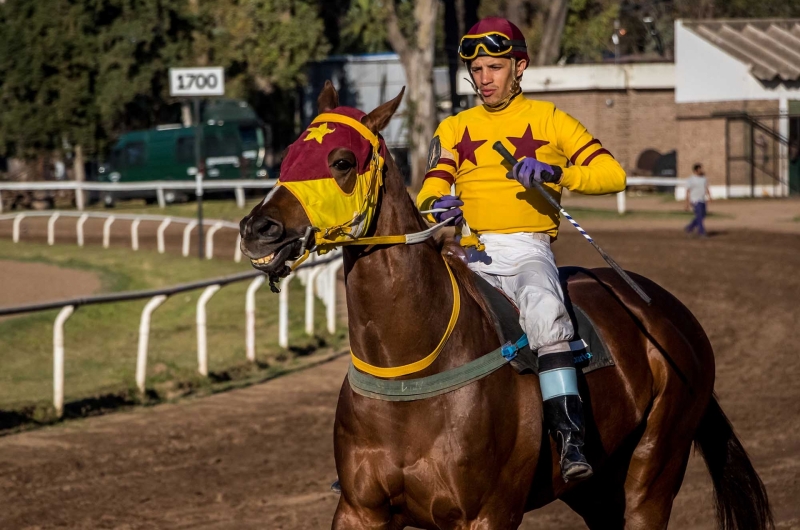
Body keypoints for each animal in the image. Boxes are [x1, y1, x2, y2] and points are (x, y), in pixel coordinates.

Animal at [241, 80, 772, 524]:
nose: (257, 228)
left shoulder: (486, 514)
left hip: (652, 473)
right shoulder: (360, 510)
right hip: (599, 492)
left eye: (342, 162)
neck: (411, 368)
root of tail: (669, 311)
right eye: (288, 155)